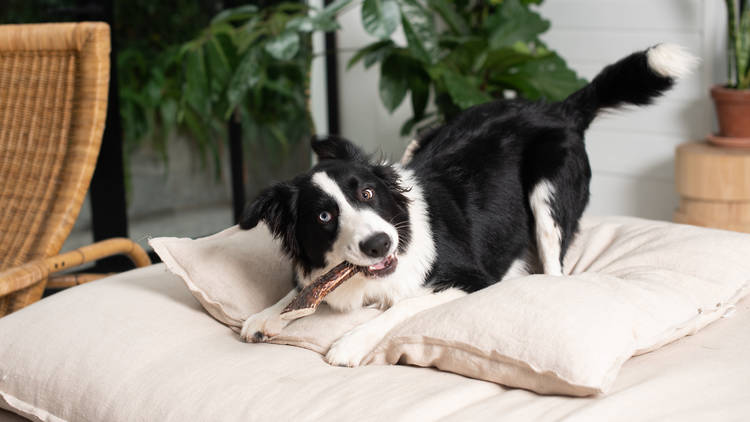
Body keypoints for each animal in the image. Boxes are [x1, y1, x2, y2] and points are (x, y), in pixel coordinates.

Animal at [239, 43, 700, 366]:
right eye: (324, 215)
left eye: (366, 194)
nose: (379, 245)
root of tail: (557, 107)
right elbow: (299, 293)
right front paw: (264, 315)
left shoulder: (470, 278)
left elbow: (398, 308)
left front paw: (349, 343)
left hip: (547, 194)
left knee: (555, 268)